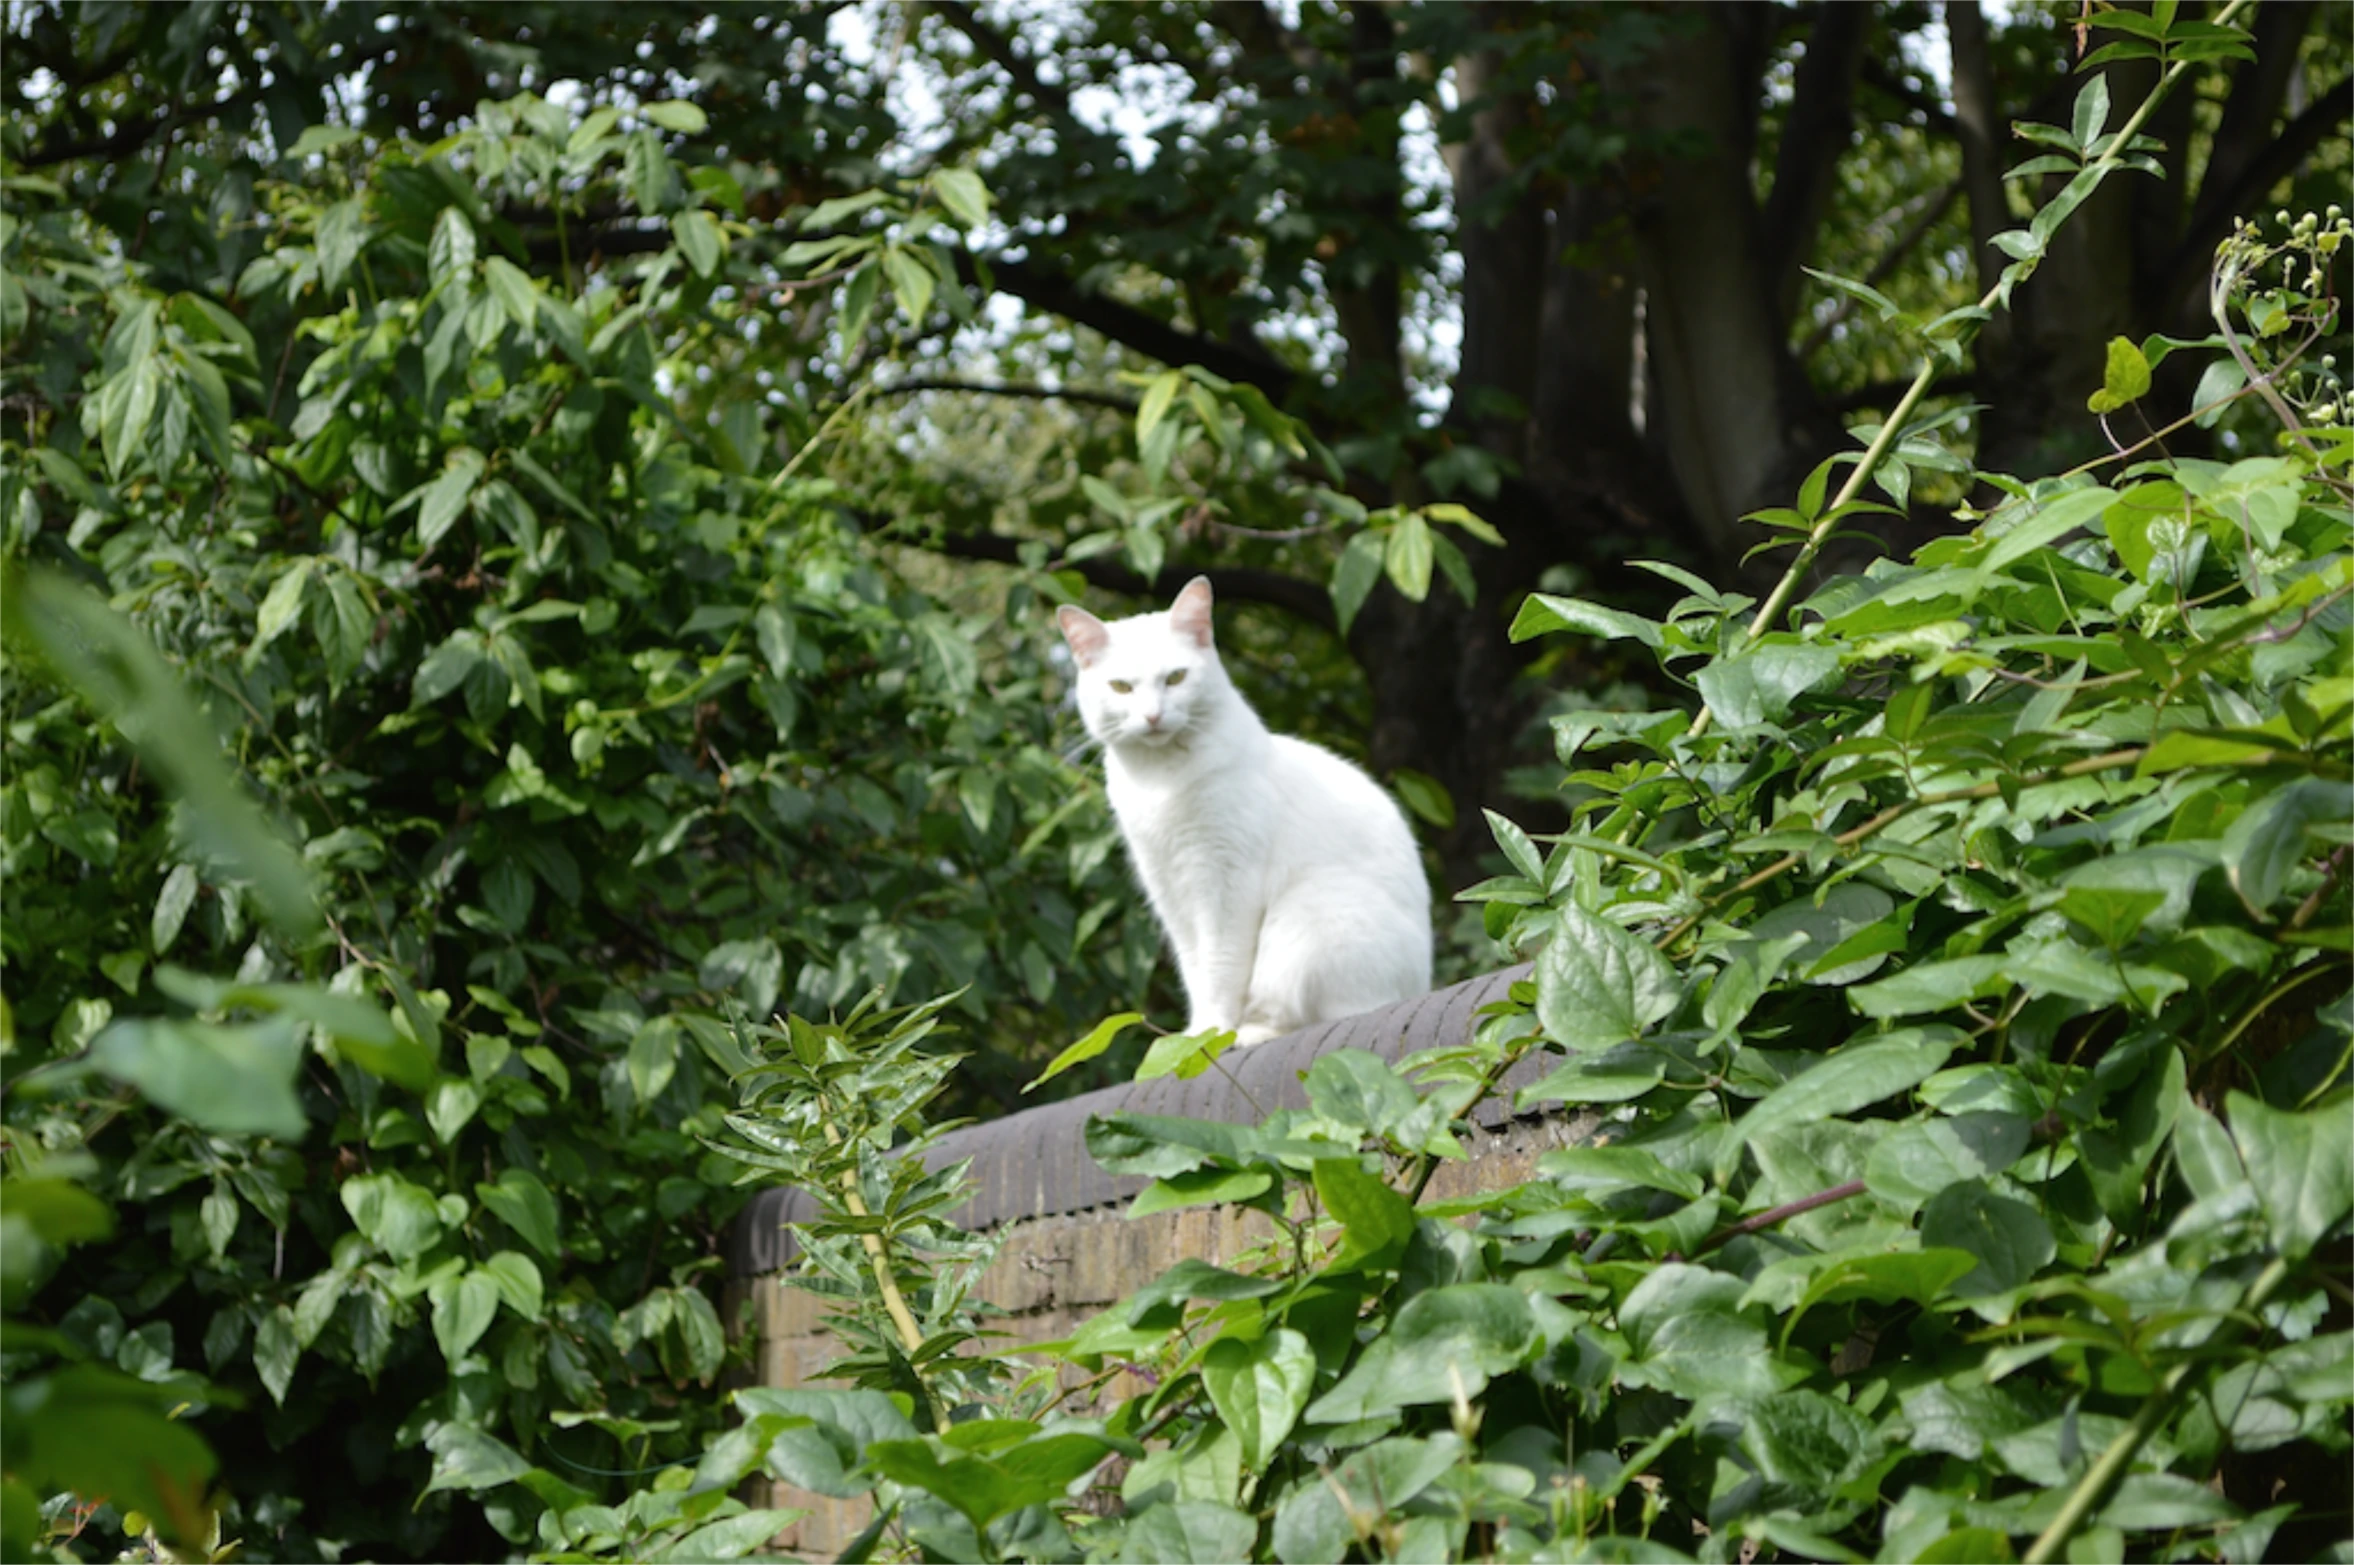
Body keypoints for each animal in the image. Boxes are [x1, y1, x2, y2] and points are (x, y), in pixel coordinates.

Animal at [1054, 574, 1421, 1035]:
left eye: (1175, 678)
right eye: (1121, 686)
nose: (1153, 717)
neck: (1161, 778)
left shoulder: (1225, 881)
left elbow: (1220, 965)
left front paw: (1214, 1031)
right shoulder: (1167, 887)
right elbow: (1194, 966)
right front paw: (1196, 1034)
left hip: (1310, 919)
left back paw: (1250, 1033)